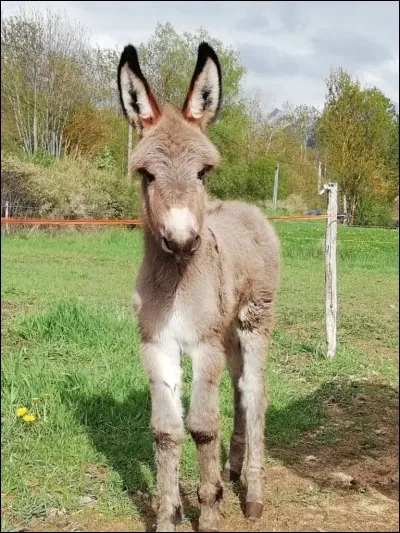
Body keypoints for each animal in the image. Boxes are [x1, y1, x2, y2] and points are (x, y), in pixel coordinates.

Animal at [117, 40, 280, 528]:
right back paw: (233, 469)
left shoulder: (203, 345)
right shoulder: (157, 343)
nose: (182, 240)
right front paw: (169, 515)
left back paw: (252, 495)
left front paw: (208, 510)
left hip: (254, 319)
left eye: (202, 173)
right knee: (238, 387)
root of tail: (247, 209)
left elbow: (203, 427)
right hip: (226, 331)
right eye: (147, 175)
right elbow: (166, 431)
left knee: (254, 392)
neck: (176, 283)